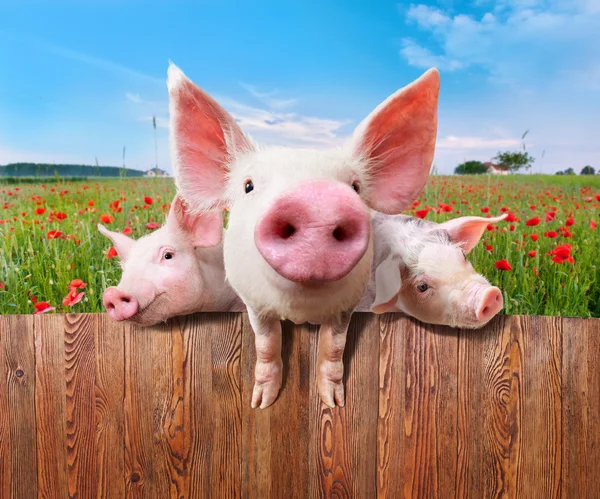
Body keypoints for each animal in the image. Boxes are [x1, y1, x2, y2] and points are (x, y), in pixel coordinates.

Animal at [166, 62, 438, 408]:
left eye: (355, 187)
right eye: (248, 185)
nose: (316, 199)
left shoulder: (348, 305)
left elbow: (334, 347)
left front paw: (334, 403)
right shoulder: (253, 302)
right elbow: (266, 344)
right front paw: (261, 403)